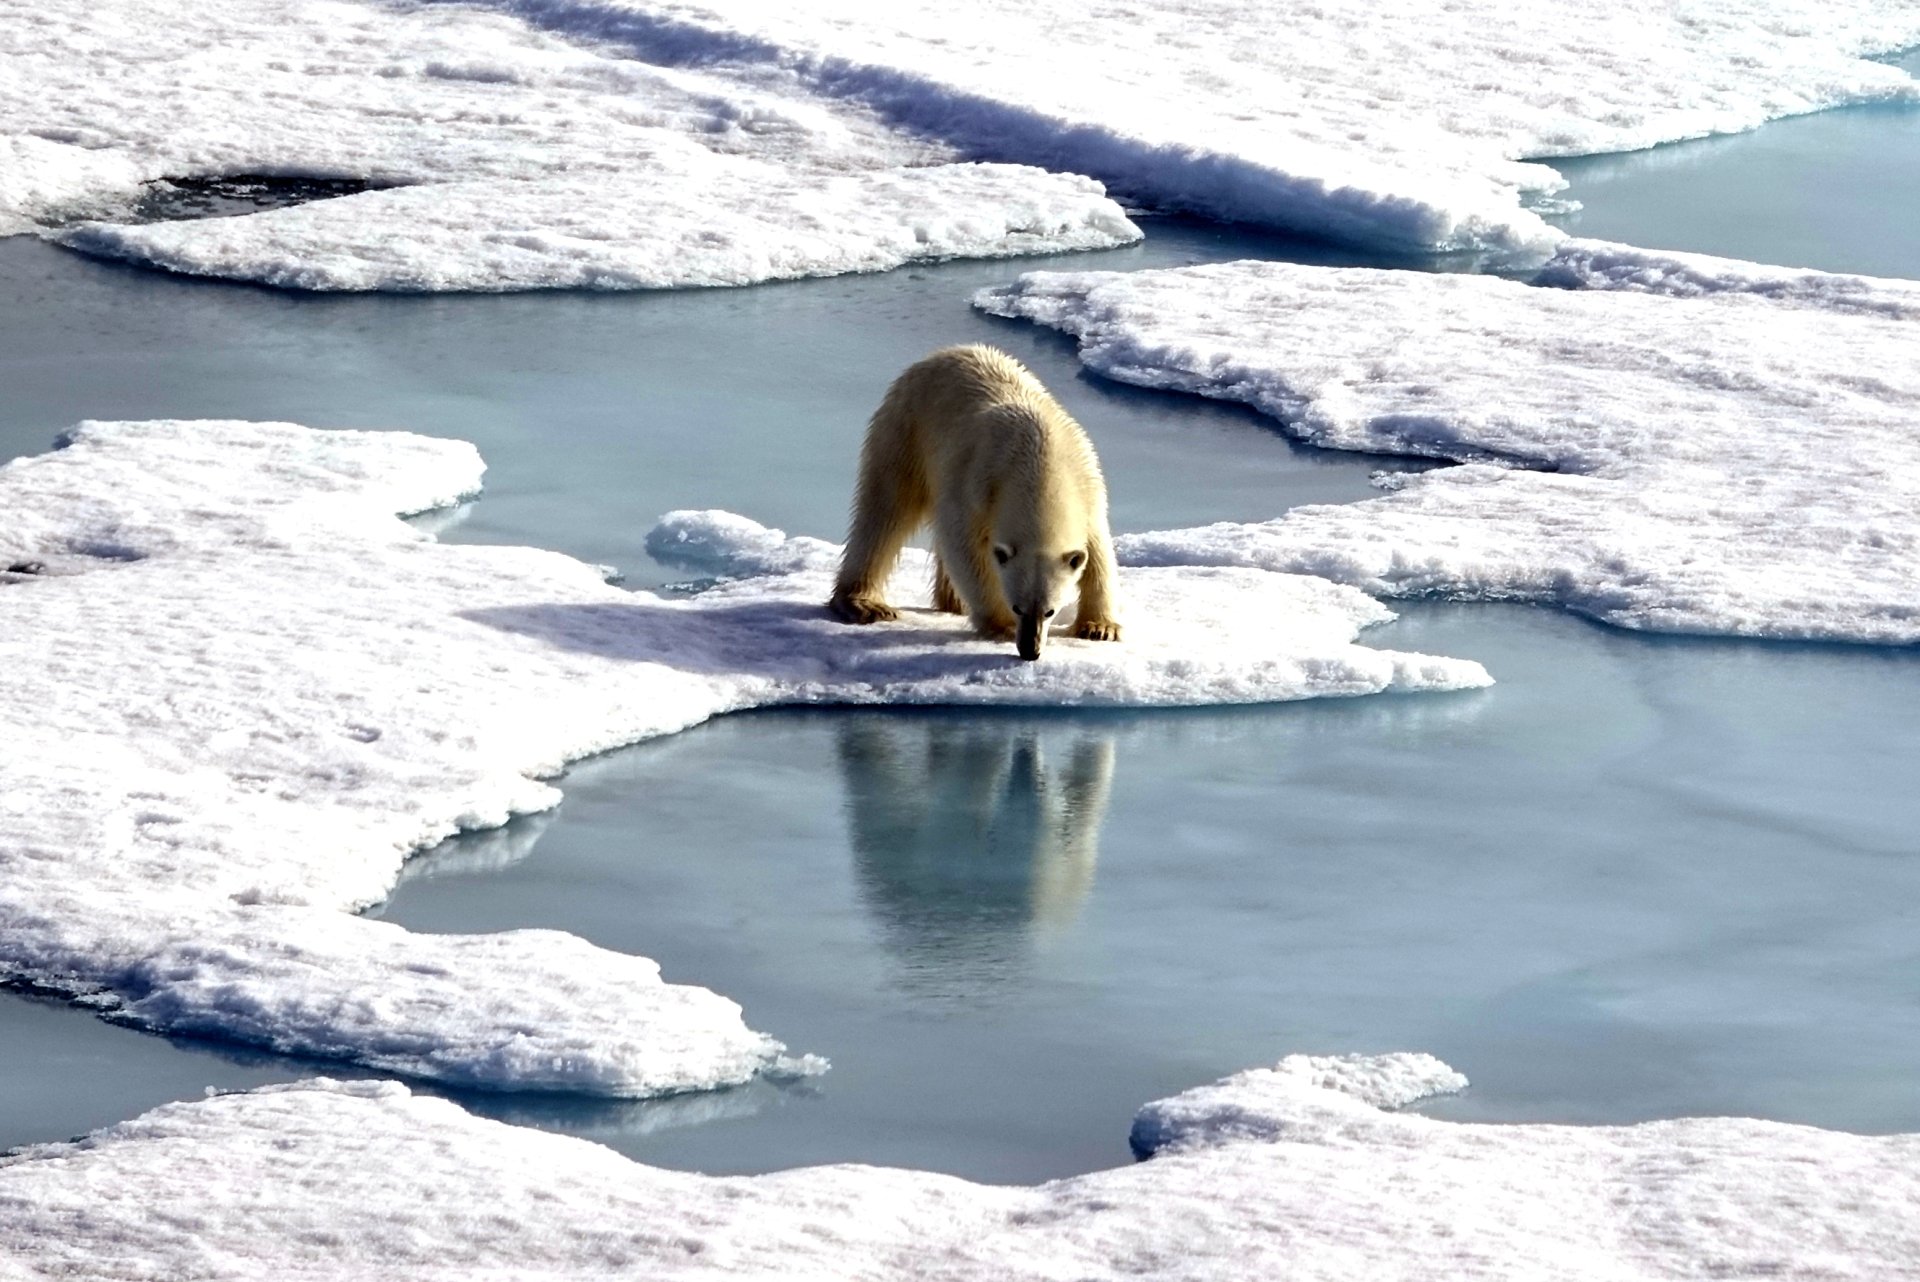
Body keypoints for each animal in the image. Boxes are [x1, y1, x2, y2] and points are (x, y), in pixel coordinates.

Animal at [829, 339, 1121, 660]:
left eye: (1050, 611)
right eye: (1017, 607)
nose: (1030, 650)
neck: (1041, 461)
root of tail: (944, 353)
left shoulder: (1088, 486)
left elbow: (1100, 554)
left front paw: (1100, 627)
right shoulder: (979, 483)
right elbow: (964, 547)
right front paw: (1001, 625)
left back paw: (952, 602)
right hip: (906, 431)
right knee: (885, 510)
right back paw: (865, 604)